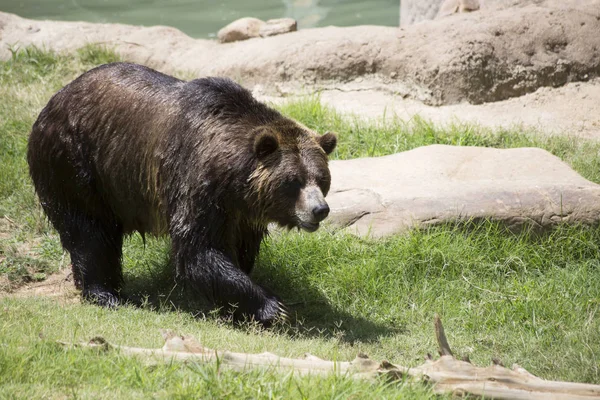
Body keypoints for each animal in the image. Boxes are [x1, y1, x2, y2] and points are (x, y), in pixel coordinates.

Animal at [28, 61, 336, 324]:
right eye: (293, 181)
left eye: (322, 179)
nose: (320, 210)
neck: (232, 177)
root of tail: (56, 98)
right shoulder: (196, 181)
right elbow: (198, 249)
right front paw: (273, 307)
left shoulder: (241, 210)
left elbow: (239, 245)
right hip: (75, 162)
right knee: (89, 230)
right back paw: (104, 293)